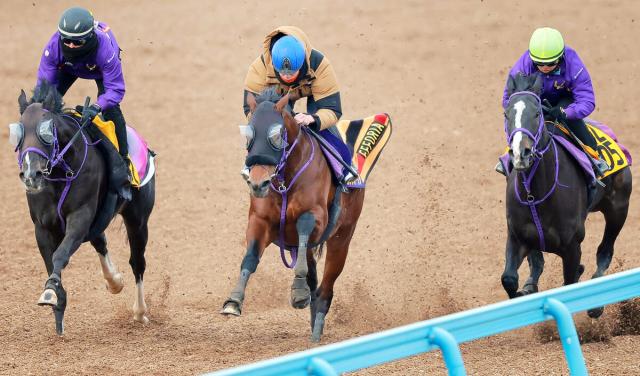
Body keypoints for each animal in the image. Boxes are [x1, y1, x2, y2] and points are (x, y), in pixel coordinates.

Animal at [12, 83, 155, 334]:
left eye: (46, 132)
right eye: (19, 133)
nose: (31, 175)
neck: (61, 173)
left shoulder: (80, 216)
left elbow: (60, 254)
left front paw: (50, 292)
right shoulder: (42, 227)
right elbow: (51, 261)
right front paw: (57, 302)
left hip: (138, 221)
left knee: (137, 262)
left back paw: (139, 312)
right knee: (100, 241)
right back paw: (114, 282)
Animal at [221, 87, 364, 340]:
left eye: (277, 135)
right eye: (248, 134)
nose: (258, 183)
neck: (286, 179)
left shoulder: (315, 217)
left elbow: (304, 230)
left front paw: (298, 293)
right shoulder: (260, 221)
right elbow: (250, 257)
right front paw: (233, 301)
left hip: (342, 238)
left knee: (326, 287)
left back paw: (316, 331)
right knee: (314, 278)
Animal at [500, 73, 632, 318]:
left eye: (537, 113)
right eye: (506, 114)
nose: (521, 153)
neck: (537, 192)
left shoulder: (571, 246)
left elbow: (570, 282)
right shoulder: (516, 236)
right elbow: (509, 279)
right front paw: (523, 296)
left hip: (619, 209)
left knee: (605, 251)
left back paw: (597, 303)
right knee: (537, 261)